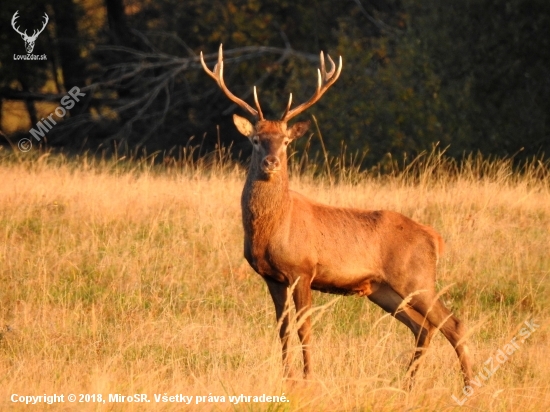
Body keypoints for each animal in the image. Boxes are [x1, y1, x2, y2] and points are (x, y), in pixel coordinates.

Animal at [203, 45, 474, 390]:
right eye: (255, 139)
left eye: (286, 141)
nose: (271, 162)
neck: (271, 229)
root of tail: (435, 238)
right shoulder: (271, 277)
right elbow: (283, 329)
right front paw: (287, 377)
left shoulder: (303, 270)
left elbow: (304, 328)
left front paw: (308, 379)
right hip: (383, 289)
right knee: (423, 327)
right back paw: (407, 385)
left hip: (417, 278)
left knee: (453, 323)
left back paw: (468, 386)